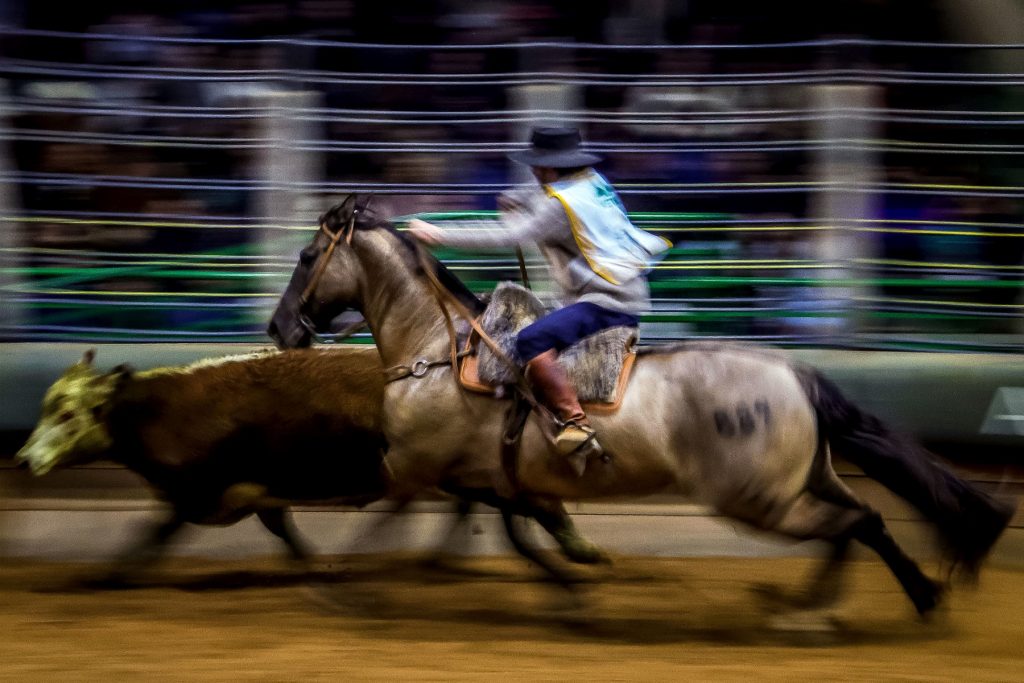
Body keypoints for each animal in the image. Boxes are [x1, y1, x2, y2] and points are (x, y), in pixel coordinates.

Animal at [14, 350, 598, 585]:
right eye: (47, 406)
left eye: (66, 413)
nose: (22, 459)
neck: (165, 410)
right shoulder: (255, 493)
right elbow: (285, 532)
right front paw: (319, 568)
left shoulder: (197, 493)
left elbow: (151, 535)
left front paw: (108, 576)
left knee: (524, 502)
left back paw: (576, 548)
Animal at [266, 197, 1015, 618]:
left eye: (305, 254)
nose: (279, 329)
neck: (439, 350)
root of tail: (798, 375)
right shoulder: (484, 476)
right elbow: (518, 525)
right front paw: (572, 573)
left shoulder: (415, 468)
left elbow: (375, 510)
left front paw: (334, 584)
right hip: (807, 480)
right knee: (869, 520)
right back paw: (898, 597)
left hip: (761, 500)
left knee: (854, 522)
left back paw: (817, 606)